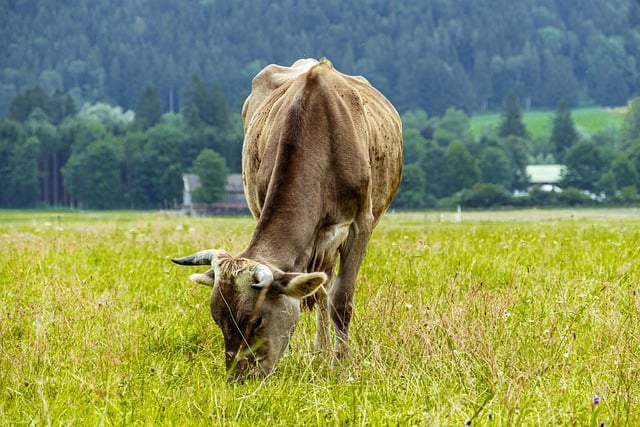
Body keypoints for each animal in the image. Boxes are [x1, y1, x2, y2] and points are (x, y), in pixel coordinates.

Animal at [172, 57, 402, 382]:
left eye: (256, 321)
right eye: (217, 318)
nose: (239, 378)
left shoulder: (361, 224)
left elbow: (341, 300)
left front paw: (342, 364)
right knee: (319, 290)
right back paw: (320, 351)